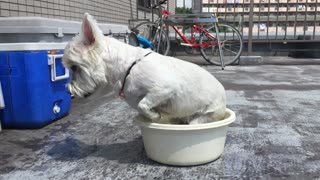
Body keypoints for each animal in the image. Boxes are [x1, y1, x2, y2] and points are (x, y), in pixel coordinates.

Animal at [62, 13, 226, 124]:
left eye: (74, 67)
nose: (68, 90)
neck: (126, 68)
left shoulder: (165, 88)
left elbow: (143, 104)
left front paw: (155, 116)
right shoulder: (134, 99)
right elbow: (142, 106)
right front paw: (154, 115)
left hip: (206, 115)